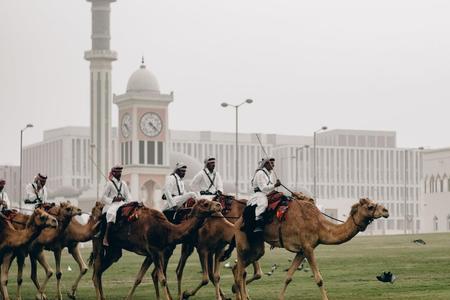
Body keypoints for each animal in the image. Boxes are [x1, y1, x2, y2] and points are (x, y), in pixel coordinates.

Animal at [91, 197, 223, 300]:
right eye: (205, 204)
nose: (219, 205)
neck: (167, 231)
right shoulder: (154, 251)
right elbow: (162, 279)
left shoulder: (152, 254)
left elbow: (139, 278)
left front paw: (128, 297)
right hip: (98, 243)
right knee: (96, 271)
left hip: (114, 250)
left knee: (100, 270)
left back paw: (102, 297)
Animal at [234, 197, 388, 300]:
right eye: (370, 206)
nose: (386, 211)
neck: (319, 226)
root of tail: (237, 221)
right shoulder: (308, 247)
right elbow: (319, 279)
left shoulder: (302, 251)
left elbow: (288, 277)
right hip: (242, 240)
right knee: (240, 269)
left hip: (257, 246)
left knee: (241, 268)